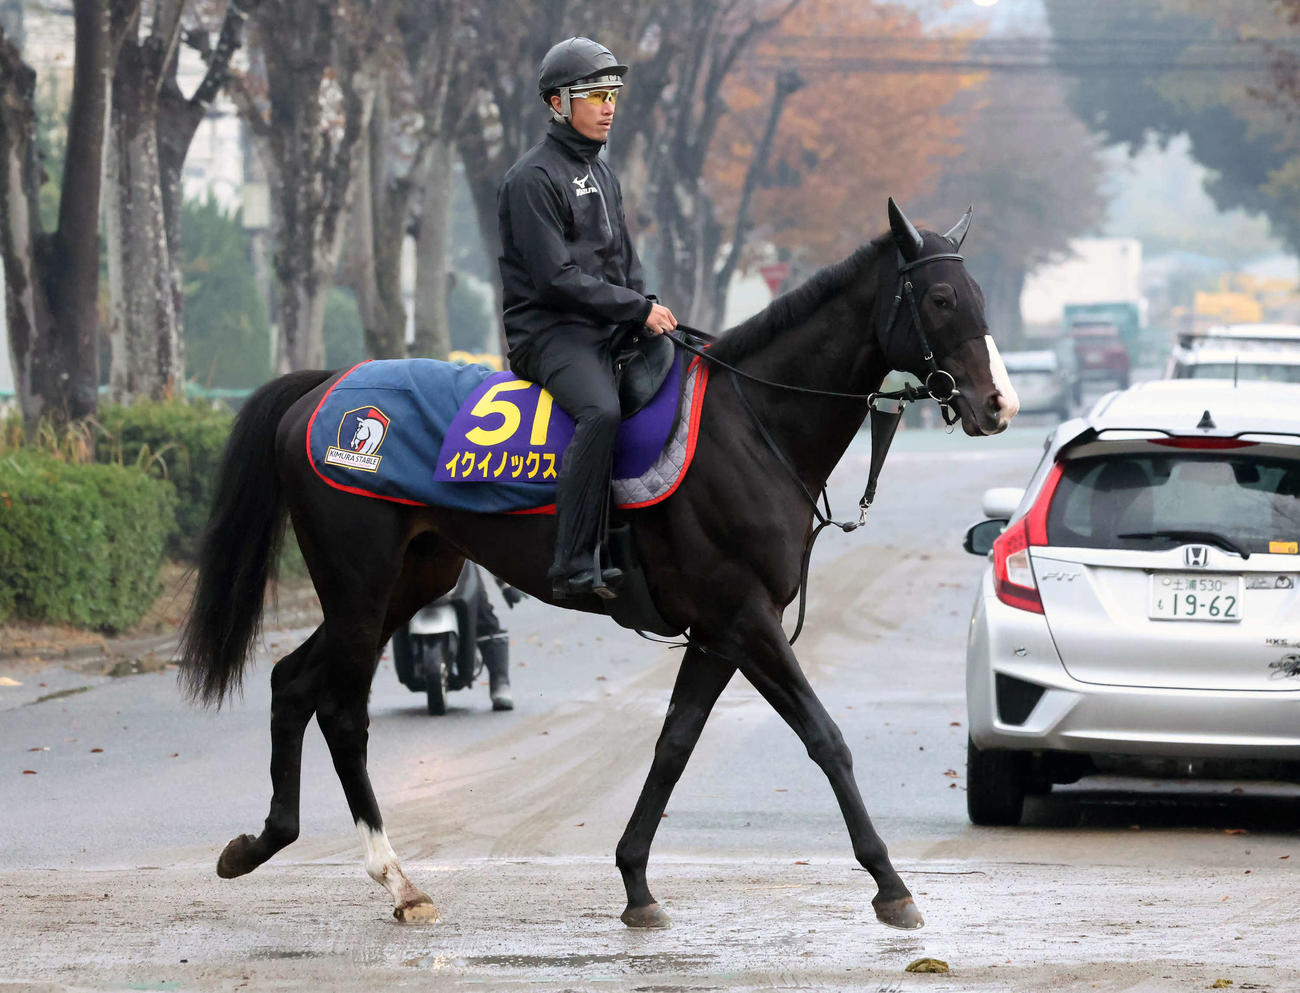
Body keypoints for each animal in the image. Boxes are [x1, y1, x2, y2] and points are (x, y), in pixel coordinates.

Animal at [178, 200, 1019, 931]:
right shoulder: (746, 619)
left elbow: (674, 746)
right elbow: (825, 737)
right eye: (942, 296)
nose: (999, 404)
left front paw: (636, 880)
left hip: (411, 580)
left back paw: (263, 840)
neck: (751, 425)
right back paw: (396, 879)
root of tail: (323, 389)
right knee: (343, 712)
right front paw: (890, 881)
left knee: (293, 681)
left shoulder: (719, 632)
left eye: (982, 294)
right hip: (360, 587)